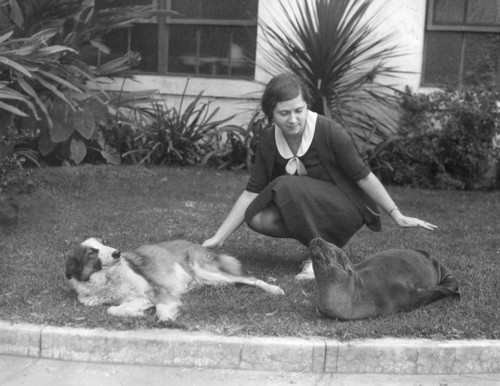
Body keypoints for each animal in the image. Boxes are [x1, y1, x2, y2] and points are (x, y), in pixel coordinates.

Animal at [65, 237, 286, 322]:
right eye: (92, 252)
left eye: (104, 243)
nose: (117, 253)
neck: (108, 279)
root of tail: (197, 244)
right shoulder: (138, 297)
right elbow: (112, 309)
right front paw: (138, 313)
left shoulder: (157, 291)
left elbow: (162, 307)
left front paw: (165, 317)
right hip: (211, 279)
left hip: (207, 271)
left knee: (251, 278)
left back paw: (274, 289)